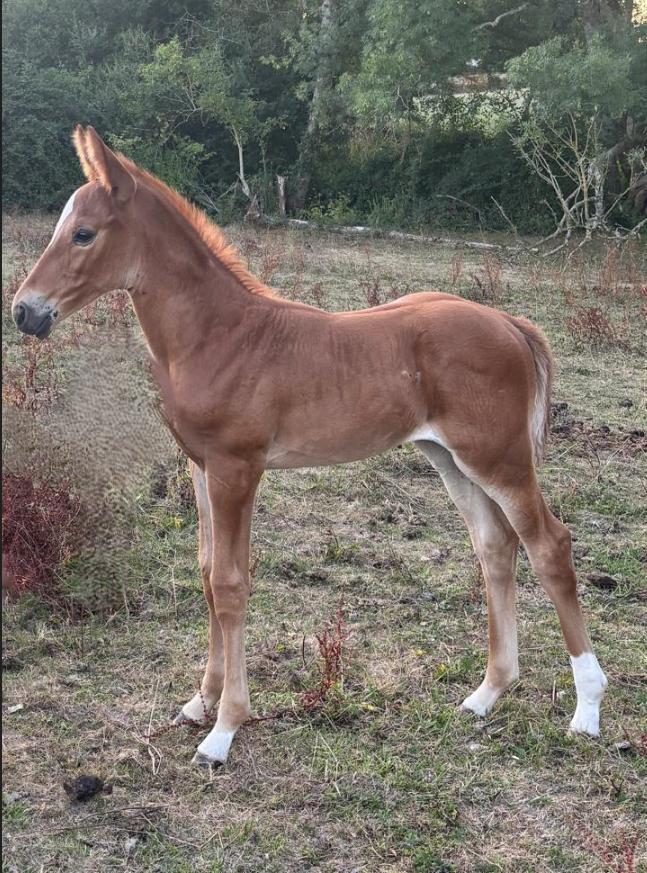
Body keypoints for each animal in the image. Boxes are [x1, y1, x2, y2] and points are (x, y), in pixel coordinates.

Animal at [12, 126, 607, 766]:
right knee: (495, 546)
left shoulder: (237, 467)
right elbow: (207, 572)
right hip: (450, 458)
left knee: (549, 545)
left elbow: (230, 584)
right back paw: (487, 694)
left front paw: (224, 729)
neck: (219, 336)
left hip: (499, 458)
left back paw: (587, 708)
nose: (25, 311)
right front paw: (201, 701)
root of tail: (509, 322)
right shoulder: (201, 467)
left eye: (83, 233)